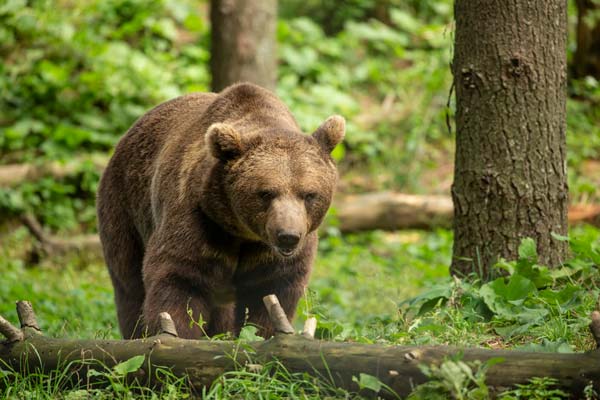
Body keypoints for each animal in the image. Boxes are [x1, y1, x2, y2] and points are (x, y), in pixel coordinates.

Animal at [96, 83, 344, 340]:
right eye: (265, 193)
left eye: (309, 194)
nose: (288, 236)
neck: (241, 232)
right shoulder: (198, 219)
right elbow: (180, 279)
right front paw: (177, 334)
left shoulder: (271, 255)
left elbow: (269, 293)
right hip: (125, 207)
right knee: (129, 283)